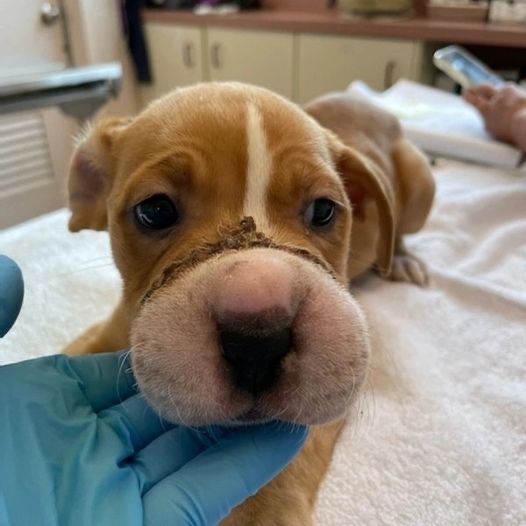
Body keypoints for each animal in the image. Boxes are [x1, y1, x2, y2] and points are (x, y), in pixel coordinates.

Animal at [65, 82, 438, 524]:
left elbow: (281, 474)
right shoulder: (105, 333)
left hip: (421, 185)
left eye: (324, 210)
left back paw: (402, 259)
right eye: (154, 210)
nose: (258, 344)